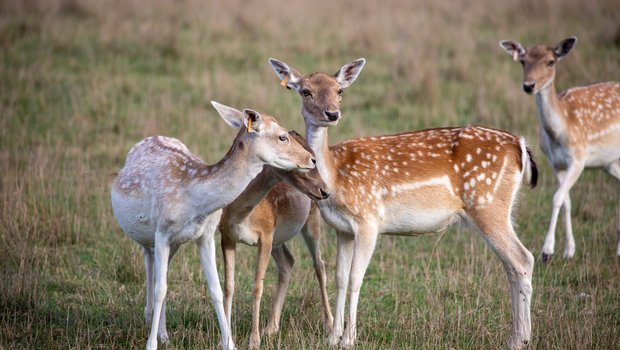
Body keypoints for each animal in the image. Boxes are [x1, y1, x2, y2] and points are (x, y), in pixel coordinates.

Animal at [109, 101, 318, 350]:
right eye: (282, 136)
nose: (312, 159)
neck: (194, 203)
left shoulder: (206, 235)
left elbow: (216, 288)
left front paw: (230, 343)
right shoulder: (162, 232)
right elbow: (161, 289)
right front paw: (150, 345)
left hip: (176, 243)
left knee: (161, 268)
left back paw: (164, 334)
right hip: (147, 235)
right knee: (150, 264)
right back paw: (150, 319)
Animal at [219, 132, 334, 350]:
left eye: (314, 160)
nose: (325, 191)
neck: (241, 216)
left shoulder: (265, 236)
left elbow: (258, 287)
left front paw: (254, 341)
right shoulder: (226, 237)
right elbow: (228, 286)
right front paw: (226, 340)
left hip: (310, 222)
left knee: (319, 265)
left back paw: (330, 325)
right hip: (278, 239)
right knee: (288, 262)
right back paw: (271, 327)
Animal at [270, 58, 536, 348]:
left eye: (339, 91)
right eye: (305, 91)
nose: (331, 114)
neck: (336, 177)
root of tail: (521, 145)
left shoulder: (368, 220)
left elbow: (355, 278)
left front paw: (349, 338)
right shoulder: (342, 229)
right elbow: (340, 277)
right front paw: (332, 337)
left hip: (488, 204)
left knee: (523, 259)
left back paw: (518, 340)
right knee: (512, 265)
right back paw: (518, 336)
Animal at [498, 37, 620, 262]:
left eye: (551, 62)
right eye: (523, 61)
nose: (529, 85)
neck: (560, 131)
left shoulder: (579, 159)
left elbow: (556, 197)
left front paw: (547, 251)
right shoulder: (555, 162)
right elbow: (566, 201)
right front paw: (568, 251)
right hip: (608, 162)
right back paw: (617, 249)